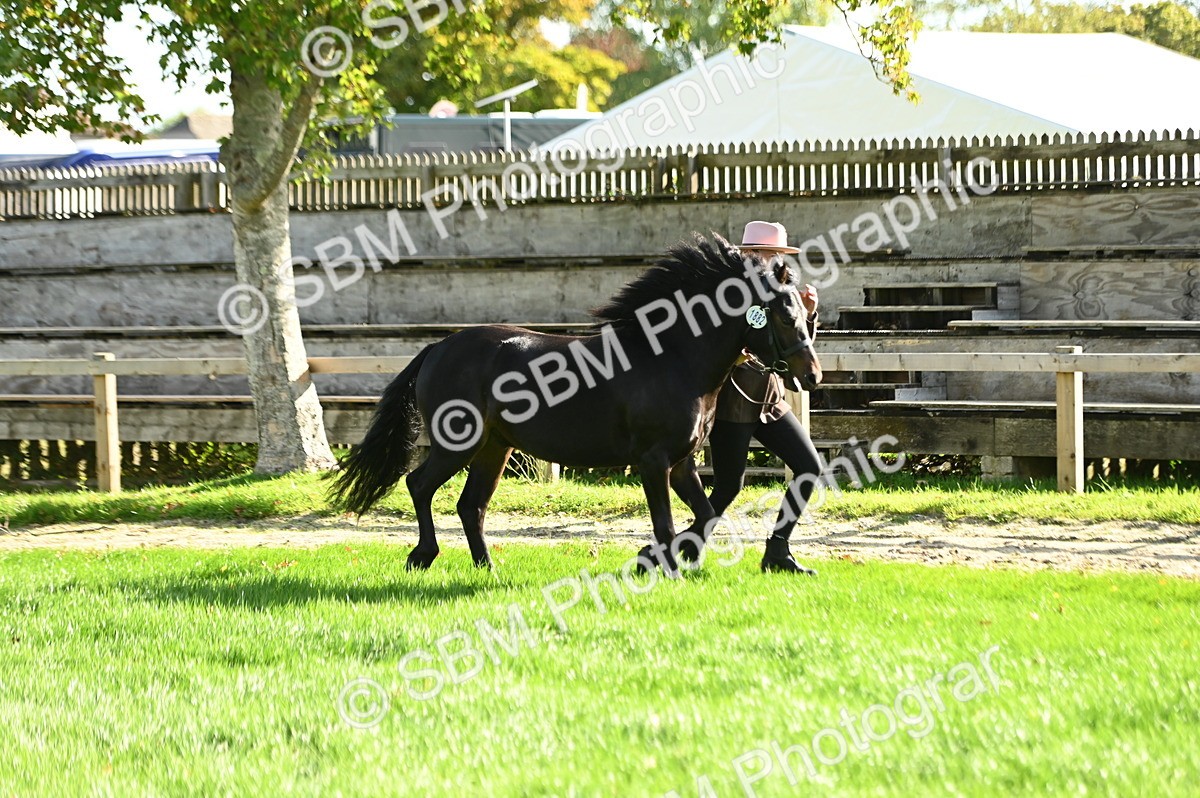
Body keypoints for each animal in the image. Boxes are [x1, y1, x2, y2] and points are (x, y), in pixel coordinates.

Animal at [329, 233, 822, 576]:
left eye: (804, 312)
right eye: (784, 315)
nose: (812, 375)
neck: (671, 358)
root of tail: (437, 348)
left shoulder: (682, 463)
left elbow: (703, 516)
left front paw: (662, 559)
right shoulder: (654, 461)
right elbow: (667, 523)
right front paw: (662, 565)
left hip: (494, 448)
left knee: (471, 505)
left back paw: (489, 569)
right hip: (459, 445)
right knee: (419, 485)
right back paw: (423, 555)